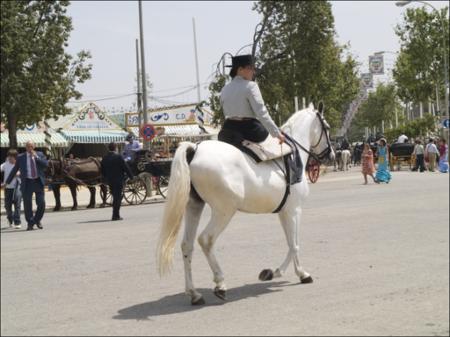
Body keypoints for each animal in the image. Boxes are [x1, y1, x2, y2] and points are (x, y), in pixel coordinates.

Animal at [157, 103, 334, 304]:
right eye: (327, 127)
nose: (331, 155)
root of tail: (195, 148)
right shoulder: (294, 210)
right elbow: (294, 244)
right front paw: (296, 273)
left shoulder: (284, 212)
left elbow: (290, 243)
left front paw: (278, 272)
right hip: (224, 211)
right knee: (206, 240)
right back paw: (220, 283)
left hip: (194, 206)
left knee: (187, 245)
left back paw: (194, 294)